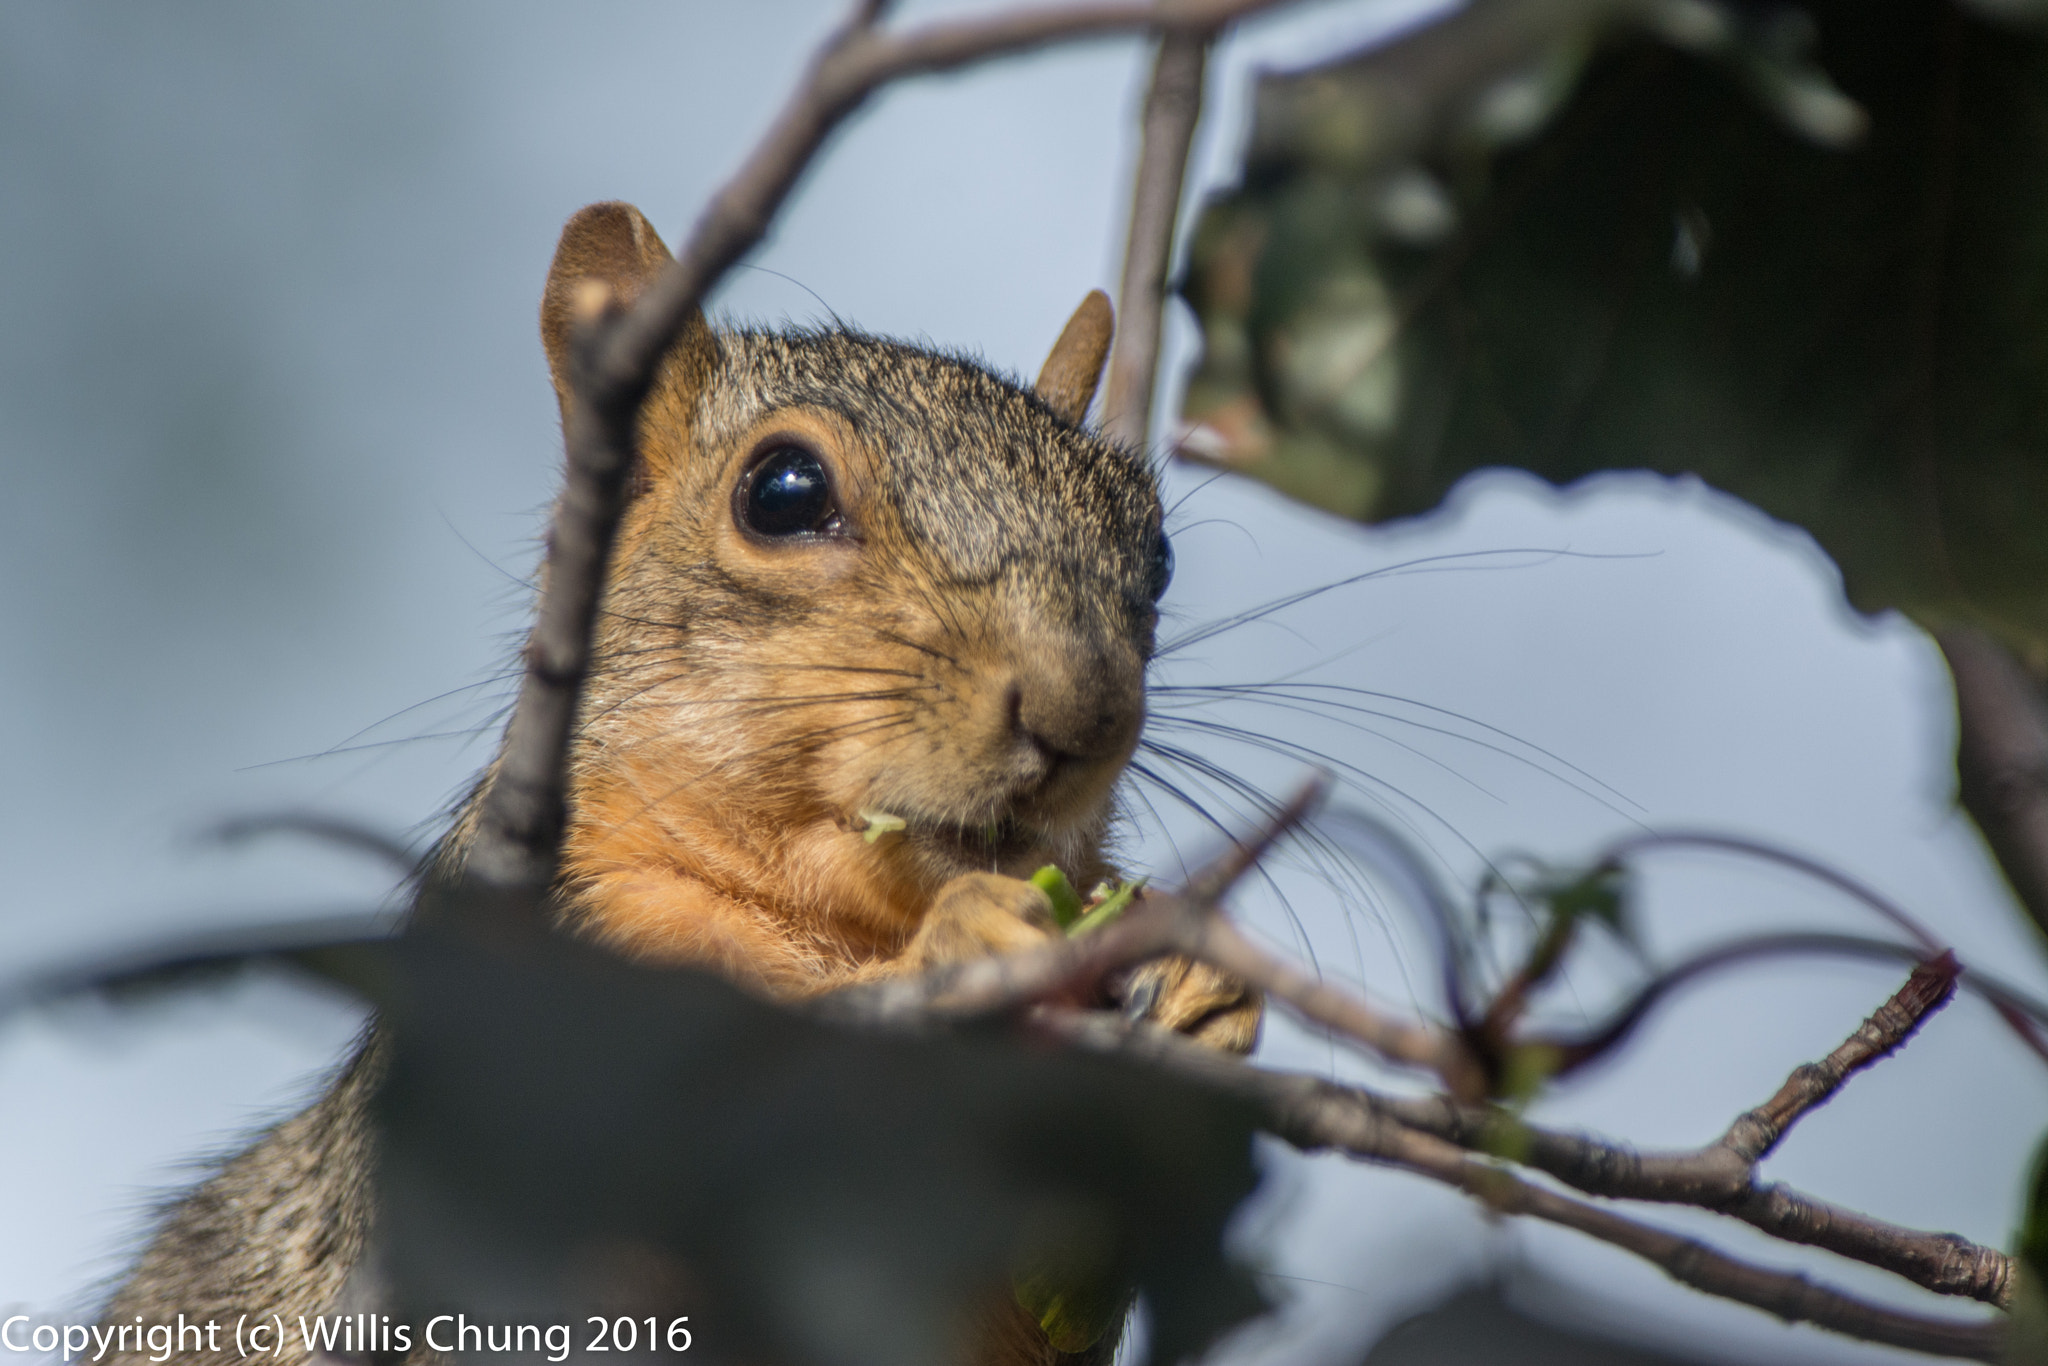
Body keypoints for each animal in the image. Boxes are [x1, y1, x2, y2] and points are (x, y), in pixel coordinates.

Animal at [99, 202, 1261, 1366]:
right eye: (783, 492)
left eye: (1158, 555)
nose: (1083, 712)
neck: (832, 922)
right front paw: (968, 944)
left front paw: (1201, 987)